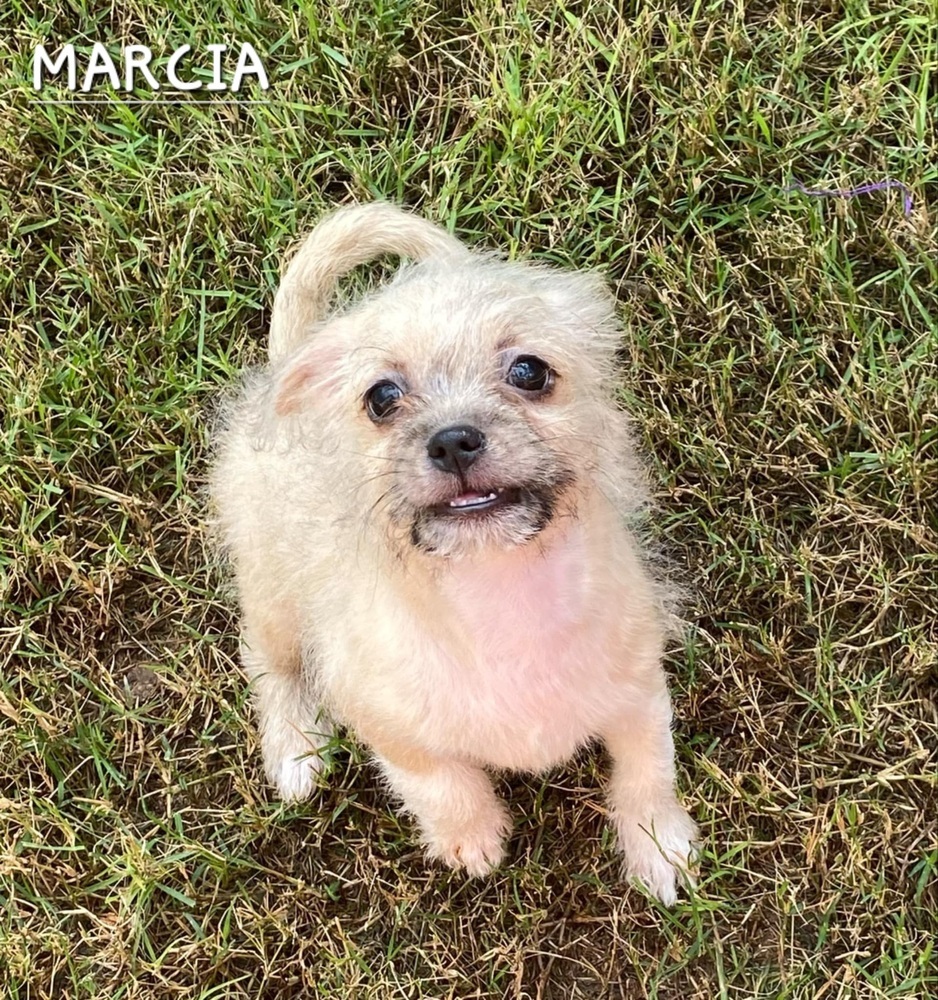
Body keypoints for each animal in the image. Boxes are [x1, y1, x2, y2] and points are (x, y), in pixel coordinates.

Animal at [210, 199, 696, 904]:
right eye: (381, 397)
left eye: (529, 371)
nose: (452, 440)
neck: (501, 593)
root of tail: (289, 358)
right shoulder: (389, 726)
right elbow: (440, 784)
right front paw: (472, 840)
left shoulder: (640, 694)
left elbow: (647, 773)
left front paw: (659, 850)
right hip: (273, 596)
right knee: (271, 662)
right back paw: (295, 748)